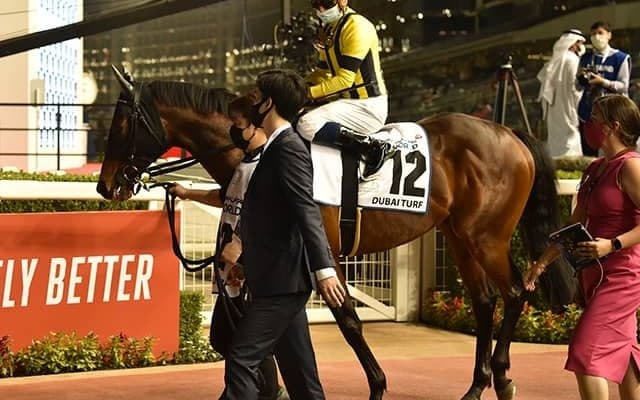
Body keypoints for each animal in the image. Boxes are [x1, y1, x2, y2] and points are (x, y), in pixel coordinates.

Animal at [96, 68, 576, 400]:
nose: (105, 185)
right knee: (484, 301)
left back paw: (503, 376)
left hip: (486, 237)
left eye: (120, 124)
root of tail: (508, 131)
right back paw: (478, 385)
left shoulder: (321, 249)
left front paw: (377, 385)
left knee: (514, 292)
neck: (256, 148)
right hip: (458, 236)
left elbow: (347, 319)